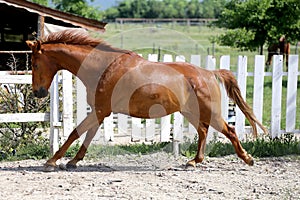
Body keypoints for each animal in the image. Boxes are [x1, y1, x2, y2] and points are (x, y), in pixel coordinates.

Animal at [27, 30, 268, 172]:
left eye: (35, 64)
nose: (38, 93)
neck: (103, 67)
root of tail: (209, 73)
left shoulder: (100, 110)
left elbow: (74, 133)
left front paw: (51, 161)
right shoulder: (101, 110)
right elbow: (87, 135)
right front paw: (73, 161)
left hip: (210, 112)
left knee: (229, 130)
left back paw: (247, 158)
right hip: (191, 112)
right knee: (203, 131)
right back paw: (193, 161)